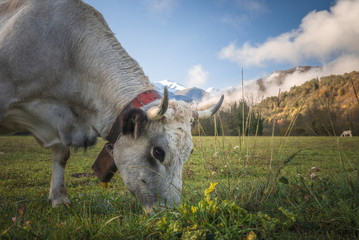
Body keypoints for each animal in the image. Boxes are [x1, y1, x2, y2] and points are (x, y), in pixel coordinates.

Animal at [0, 0, 225, 213]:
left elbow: (62, 155)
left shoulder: (61, 121)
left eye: (190, 152)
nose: (172, 212)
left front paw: (59, 199)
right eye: (158, 152)